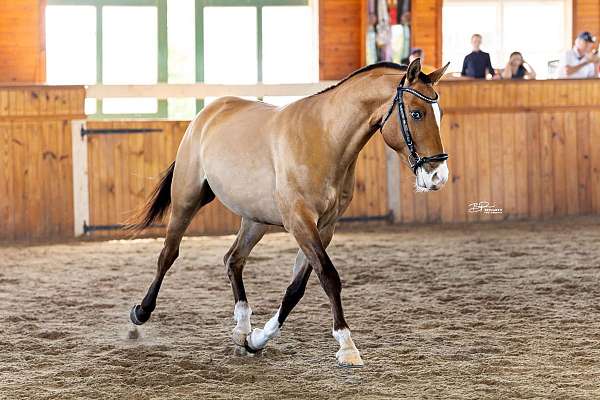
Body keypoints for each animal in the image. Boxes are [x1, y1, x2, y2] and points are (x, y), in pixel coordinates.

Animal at [129, 57, 448, 368]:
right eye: (416, 113)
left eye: (440, 113)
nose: (438, 177)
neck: (325, 138)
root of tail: (208, 112)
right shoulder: (300, 222)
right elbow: (329, 277)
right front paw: (347, 346)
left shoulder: (324, 227)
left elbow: (297, 288)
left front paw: (257, 339)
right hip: (186, 200)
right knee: (168, 254)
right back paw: (140, 313)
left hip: (254, 220)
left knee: (233, 260)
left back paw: (242, 329)